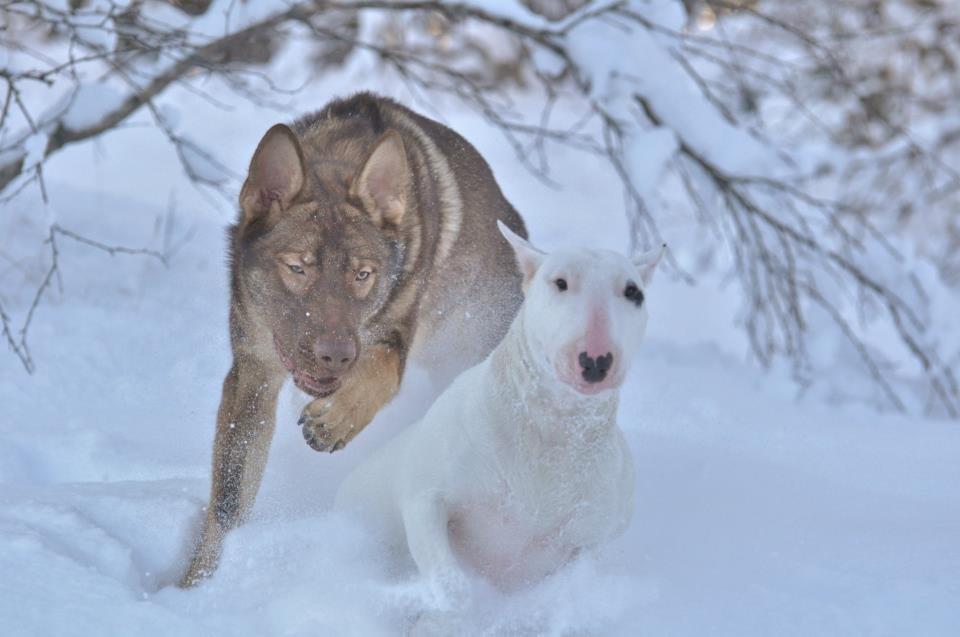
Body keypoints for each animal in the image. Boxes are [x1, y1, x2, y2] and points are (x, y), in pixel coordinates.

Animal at [180, 92, 524, 584]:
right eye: (297, 268)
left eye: (363, 275)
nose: (337, 357)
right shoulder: (253, 371)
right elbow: (228, 501)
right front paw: (196, 585)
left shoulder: (392, 334)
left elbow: (380, 374)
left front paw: (336, 421)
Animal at [336, 224, 660, 608]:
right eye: (560, 282)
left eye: (633, 292)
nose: (595, 360)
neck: (552, 430)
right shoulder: (424, 498)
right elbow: (453, 585)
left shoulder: (591, 542)